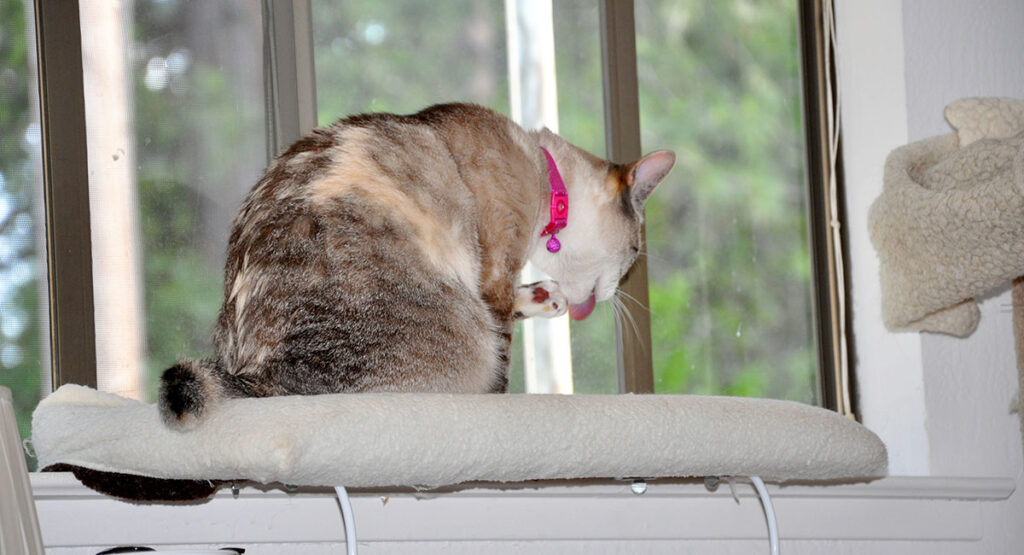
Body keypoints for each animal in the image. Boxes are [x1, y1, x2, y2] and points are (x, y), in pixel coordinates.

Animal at [157, 102, 671, 430]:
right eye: (635, 252)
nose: (619, 289)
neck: (544, 175)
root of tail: (264, 374)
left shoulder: (498, 286)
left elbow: (517, 307)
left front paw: (547, 296)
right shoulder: (496, 273)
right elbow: (502, 358)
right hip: (461, 335)